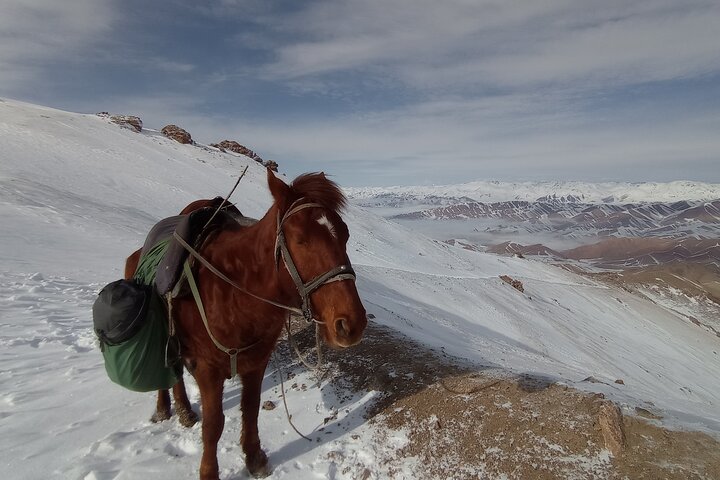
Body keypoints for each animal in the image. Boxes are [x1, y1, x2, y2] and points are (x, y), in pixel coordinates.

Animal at [124, 169, 367, 479]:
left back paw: (184, 410)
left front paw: (254, 458)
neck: (235, 294)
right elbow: (213, 424)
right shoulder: (208, 370)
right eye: (301, 239)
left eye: (345, 235)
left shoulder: (256, 362)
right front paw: (209, 472)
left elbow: (250, 409)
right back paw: (165, 408)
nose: (352, 323)